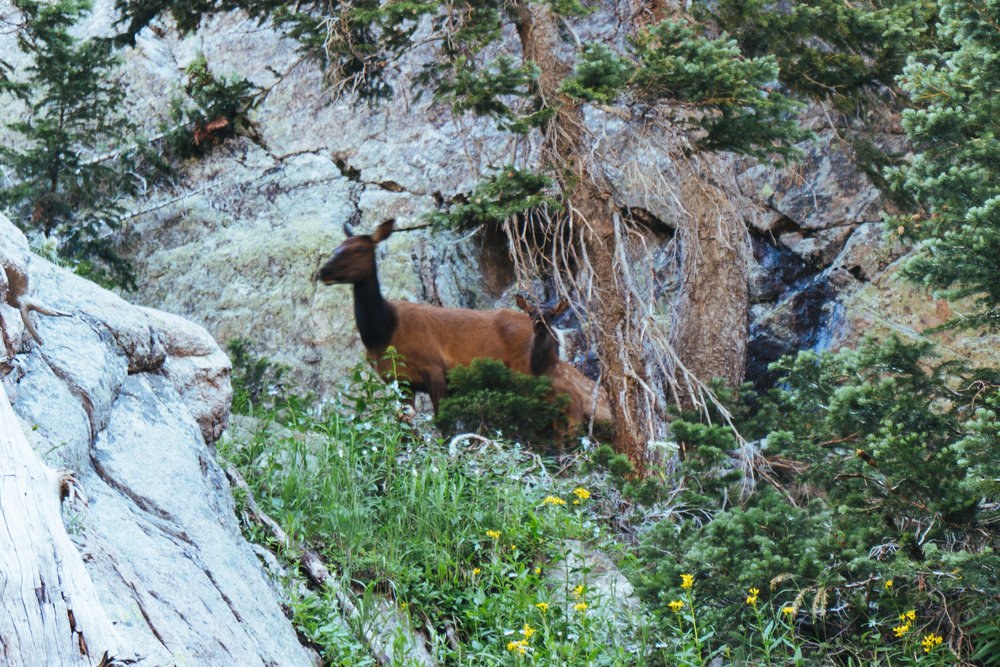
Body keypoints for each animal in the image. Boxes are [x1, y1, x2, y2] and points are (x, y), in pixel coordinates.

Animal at [316, 222, 536, 414]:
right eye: (337, 247)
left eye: (359, 249)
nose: (324, 271)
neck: (382, 332)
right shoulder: (399, 380)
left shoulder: (434, 366)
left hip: (525, 369)